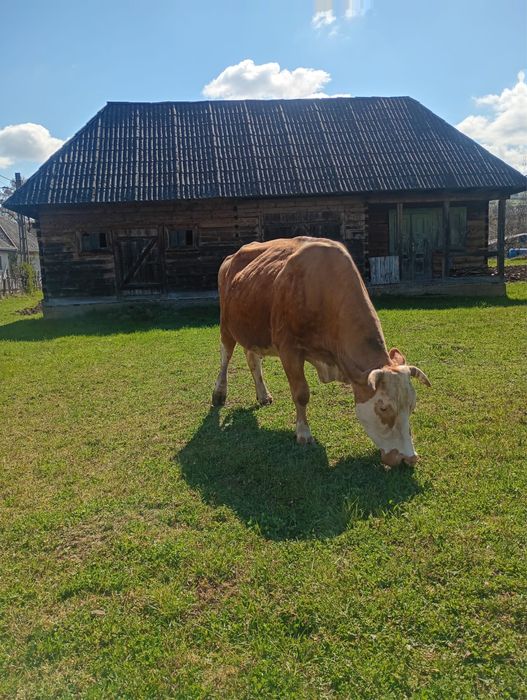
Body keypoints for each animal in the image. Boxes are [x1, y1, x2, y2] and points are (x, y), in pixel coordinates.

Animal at [212, 237, 430, 468]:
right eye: (383, 408)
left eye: (412, 406)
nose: (409, 457)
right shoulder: (289, 349)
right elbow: (301, 394)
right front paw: (303, 433)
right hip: (226, 325)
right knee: (225, 357)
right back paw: (219, 394)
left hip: (252, 329)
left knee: (253, 359)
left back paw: (263, 395)